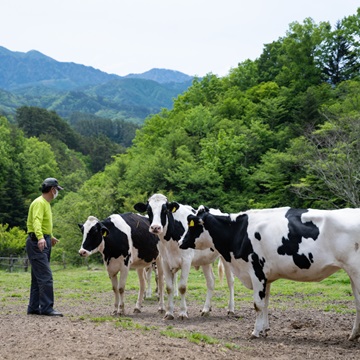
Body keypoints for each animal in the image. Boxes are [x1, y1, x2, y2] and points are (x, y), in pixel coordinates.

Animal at [180, 205, 360, 340]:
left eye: (192, 225)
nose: (181, 242)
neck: (238, 231)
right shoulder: (266, 277)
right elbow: (265, 303)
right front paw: (264, 329)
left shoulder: (256, 272)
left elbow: (258, 305)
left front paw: (255, 332)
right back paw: (353, 335)